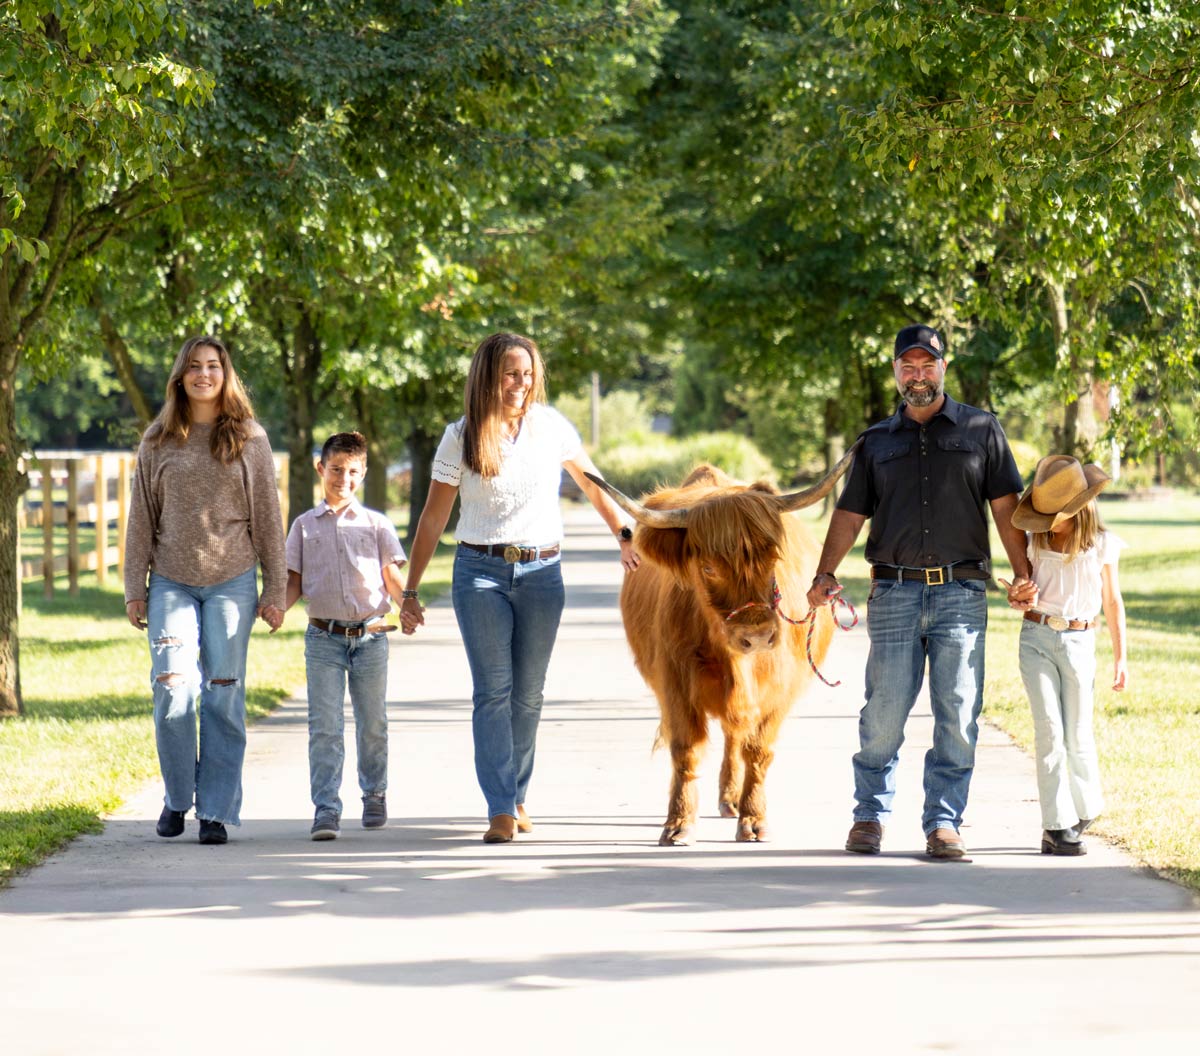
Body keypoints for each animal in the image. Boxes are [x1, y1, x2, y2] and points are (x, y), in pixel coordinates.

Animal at [585, 445, 858, 846]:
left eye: (772, 558)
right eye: (708, 568)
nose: (758, 635)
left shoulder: (782, 690)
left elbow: (758, 751)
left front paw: (754, 819)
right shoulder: (675, 685)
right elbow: (686, 749)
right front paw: (679, 822)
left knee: (736, 736)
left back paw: (733, 800)